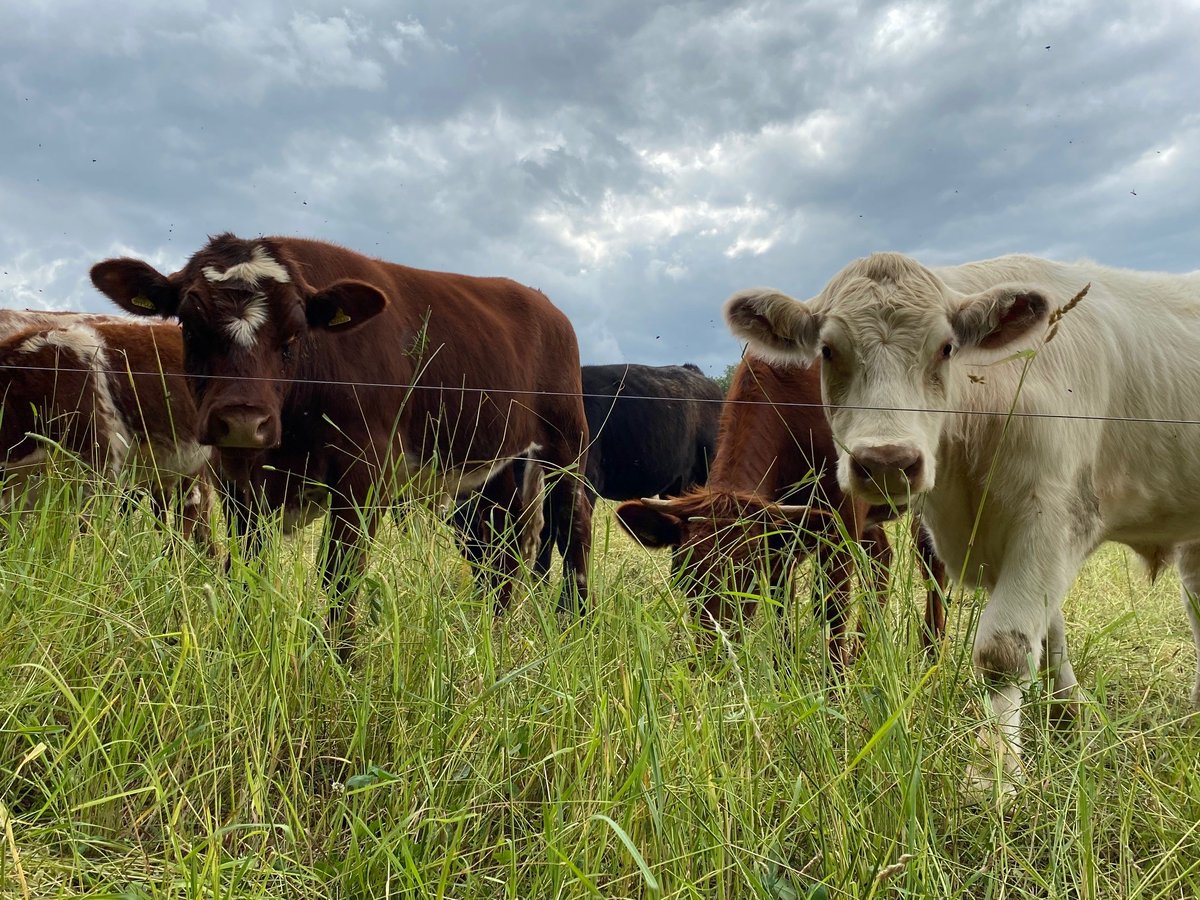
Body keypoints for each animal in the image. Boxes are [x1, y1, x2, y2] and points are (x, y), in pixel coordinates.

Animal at [90, 234, 593, 648]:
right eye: (191, 328)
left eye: (293, 334)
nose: (242, 420)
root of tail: (543, 303)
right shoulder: (237, 484)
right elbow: (247, 571)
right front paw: (242, 646)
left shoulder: (363, 473)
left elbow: (340, 576)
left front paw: (342, 664)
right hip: (491, 468)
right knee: (497, 548)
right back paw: (490, 627)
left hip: (566, 445)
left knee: (574, 529)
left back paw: (575, 625)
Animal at [615, 356, 946, 665]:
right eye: (684, 577)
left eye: (748, 579)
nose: (716, 658)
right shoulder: (782, 533)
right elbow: (780, 600)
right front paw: (784, 671)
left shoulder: (844, 518)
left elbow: (832, 603)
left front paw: (834, 681)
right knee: (882, 557)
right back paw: (861, 654)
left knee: (930, 564)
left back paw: (930, 653)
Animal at [723, 251, 1200, 796]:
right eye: (827, 350)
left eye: (946, 347)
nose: (886, 461)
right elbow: (1049, 637)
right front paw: (1068, 718)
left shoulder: (1053, 518)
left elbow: (1004, 650)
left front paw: (996, 774)